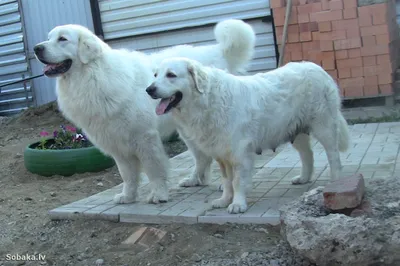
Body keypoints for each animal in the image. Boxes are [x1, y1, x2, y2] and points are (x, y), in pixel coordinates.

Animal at [32, 19, 255, 204]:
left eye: (62, 39)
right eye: (49, 37)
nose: (36, 48)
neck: (93, 76)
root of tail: (218, 51)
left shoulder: (145, 138)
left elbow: (153, 170)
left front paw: (159, 195)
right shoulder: (116, 143)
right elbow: (127, 175)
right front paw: (128, 196)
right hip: (188, 129)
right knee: (202, 157)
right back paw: (194, 180)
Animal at [147, 57, 350, 214]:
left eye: (171, 75)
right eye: (156, 75)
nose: (149, 89)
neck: (207, 101)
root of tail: (317, 67)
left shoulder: (240, 153)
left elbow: (237, 181)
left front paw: (237, 204)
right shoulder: (221, 154)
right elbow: (226, 181)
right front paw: (224, 200)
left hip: (324, 127)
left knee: (333, 156)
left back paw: (336, 182)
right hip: (296, 131)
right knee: (307, 154)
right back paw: (303, 178)